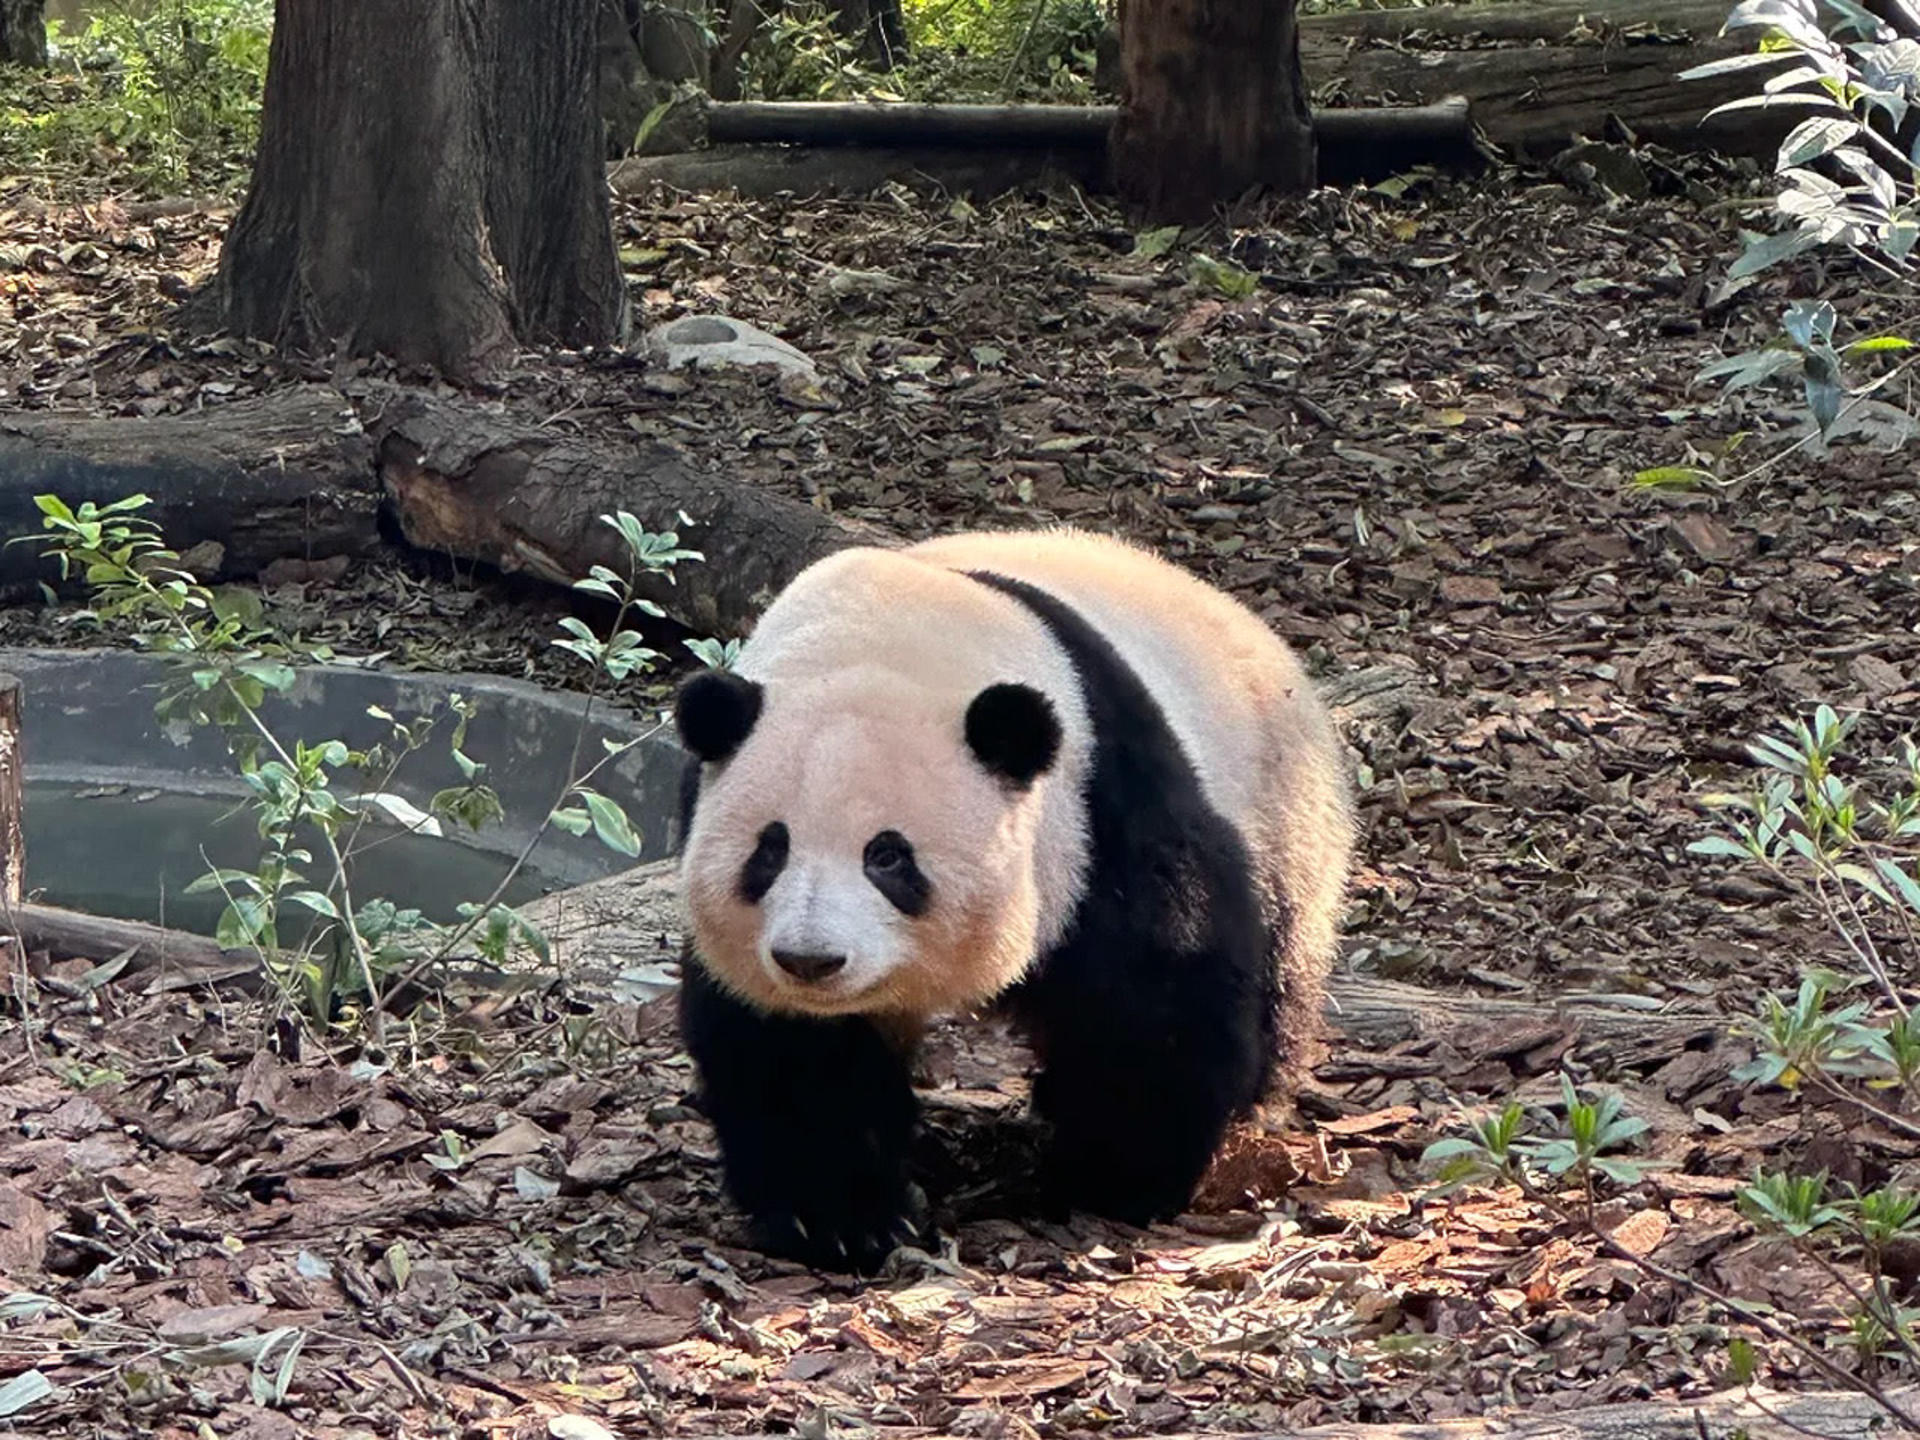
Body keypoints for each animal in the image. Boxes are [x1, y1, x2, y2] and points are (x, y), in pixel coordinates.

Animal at [672, 527, 1355, 1273]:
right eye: (769, 851)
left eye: (888, 856)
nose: (810, 960)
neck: (889, 632)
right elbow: (789, 1050)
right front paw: (839, 1219)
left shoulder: (1097, 795)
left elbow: (1156, 984)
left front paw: (1108, 1175)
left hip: (1283, 812)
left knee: (1282, 970)